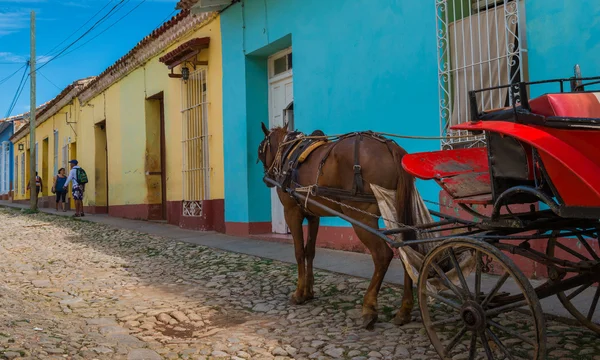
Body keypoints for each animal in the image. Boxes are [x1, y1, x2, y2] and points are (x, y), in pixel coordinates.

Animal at [256, 122, 418, 330]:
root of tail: (389, 146)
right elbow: (310, 251)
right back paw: (404, 310)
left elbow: (299, 252)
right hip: (394, 209)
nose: (267, 177)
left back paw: (369, 308)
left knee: (383, 255)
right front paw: (308, 291)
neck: (289, 153)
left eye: (261, 149)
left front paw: (299, 293)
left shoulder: (292, 212)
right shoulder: (313, 215)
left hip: (361, 216)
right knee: (406, 249)